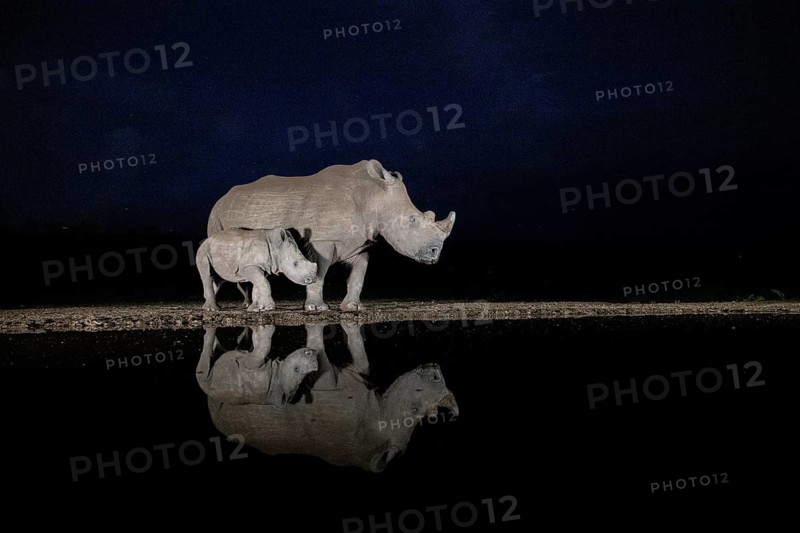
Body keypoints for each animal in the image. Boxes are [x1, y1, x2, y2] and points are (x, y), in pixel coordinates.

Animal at [207, 160, 456, 311]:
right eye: (412, 220)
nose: (435, 253)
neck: (372, 196)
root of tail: (222, 198)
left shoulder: (360, 244)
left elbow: (358, 276)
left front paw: (353, 307)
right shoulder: (322, 240)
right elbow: (320, 273)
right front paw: (316, 308)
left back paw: (250, 307)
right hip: (215, 215)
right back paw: (214, 309)